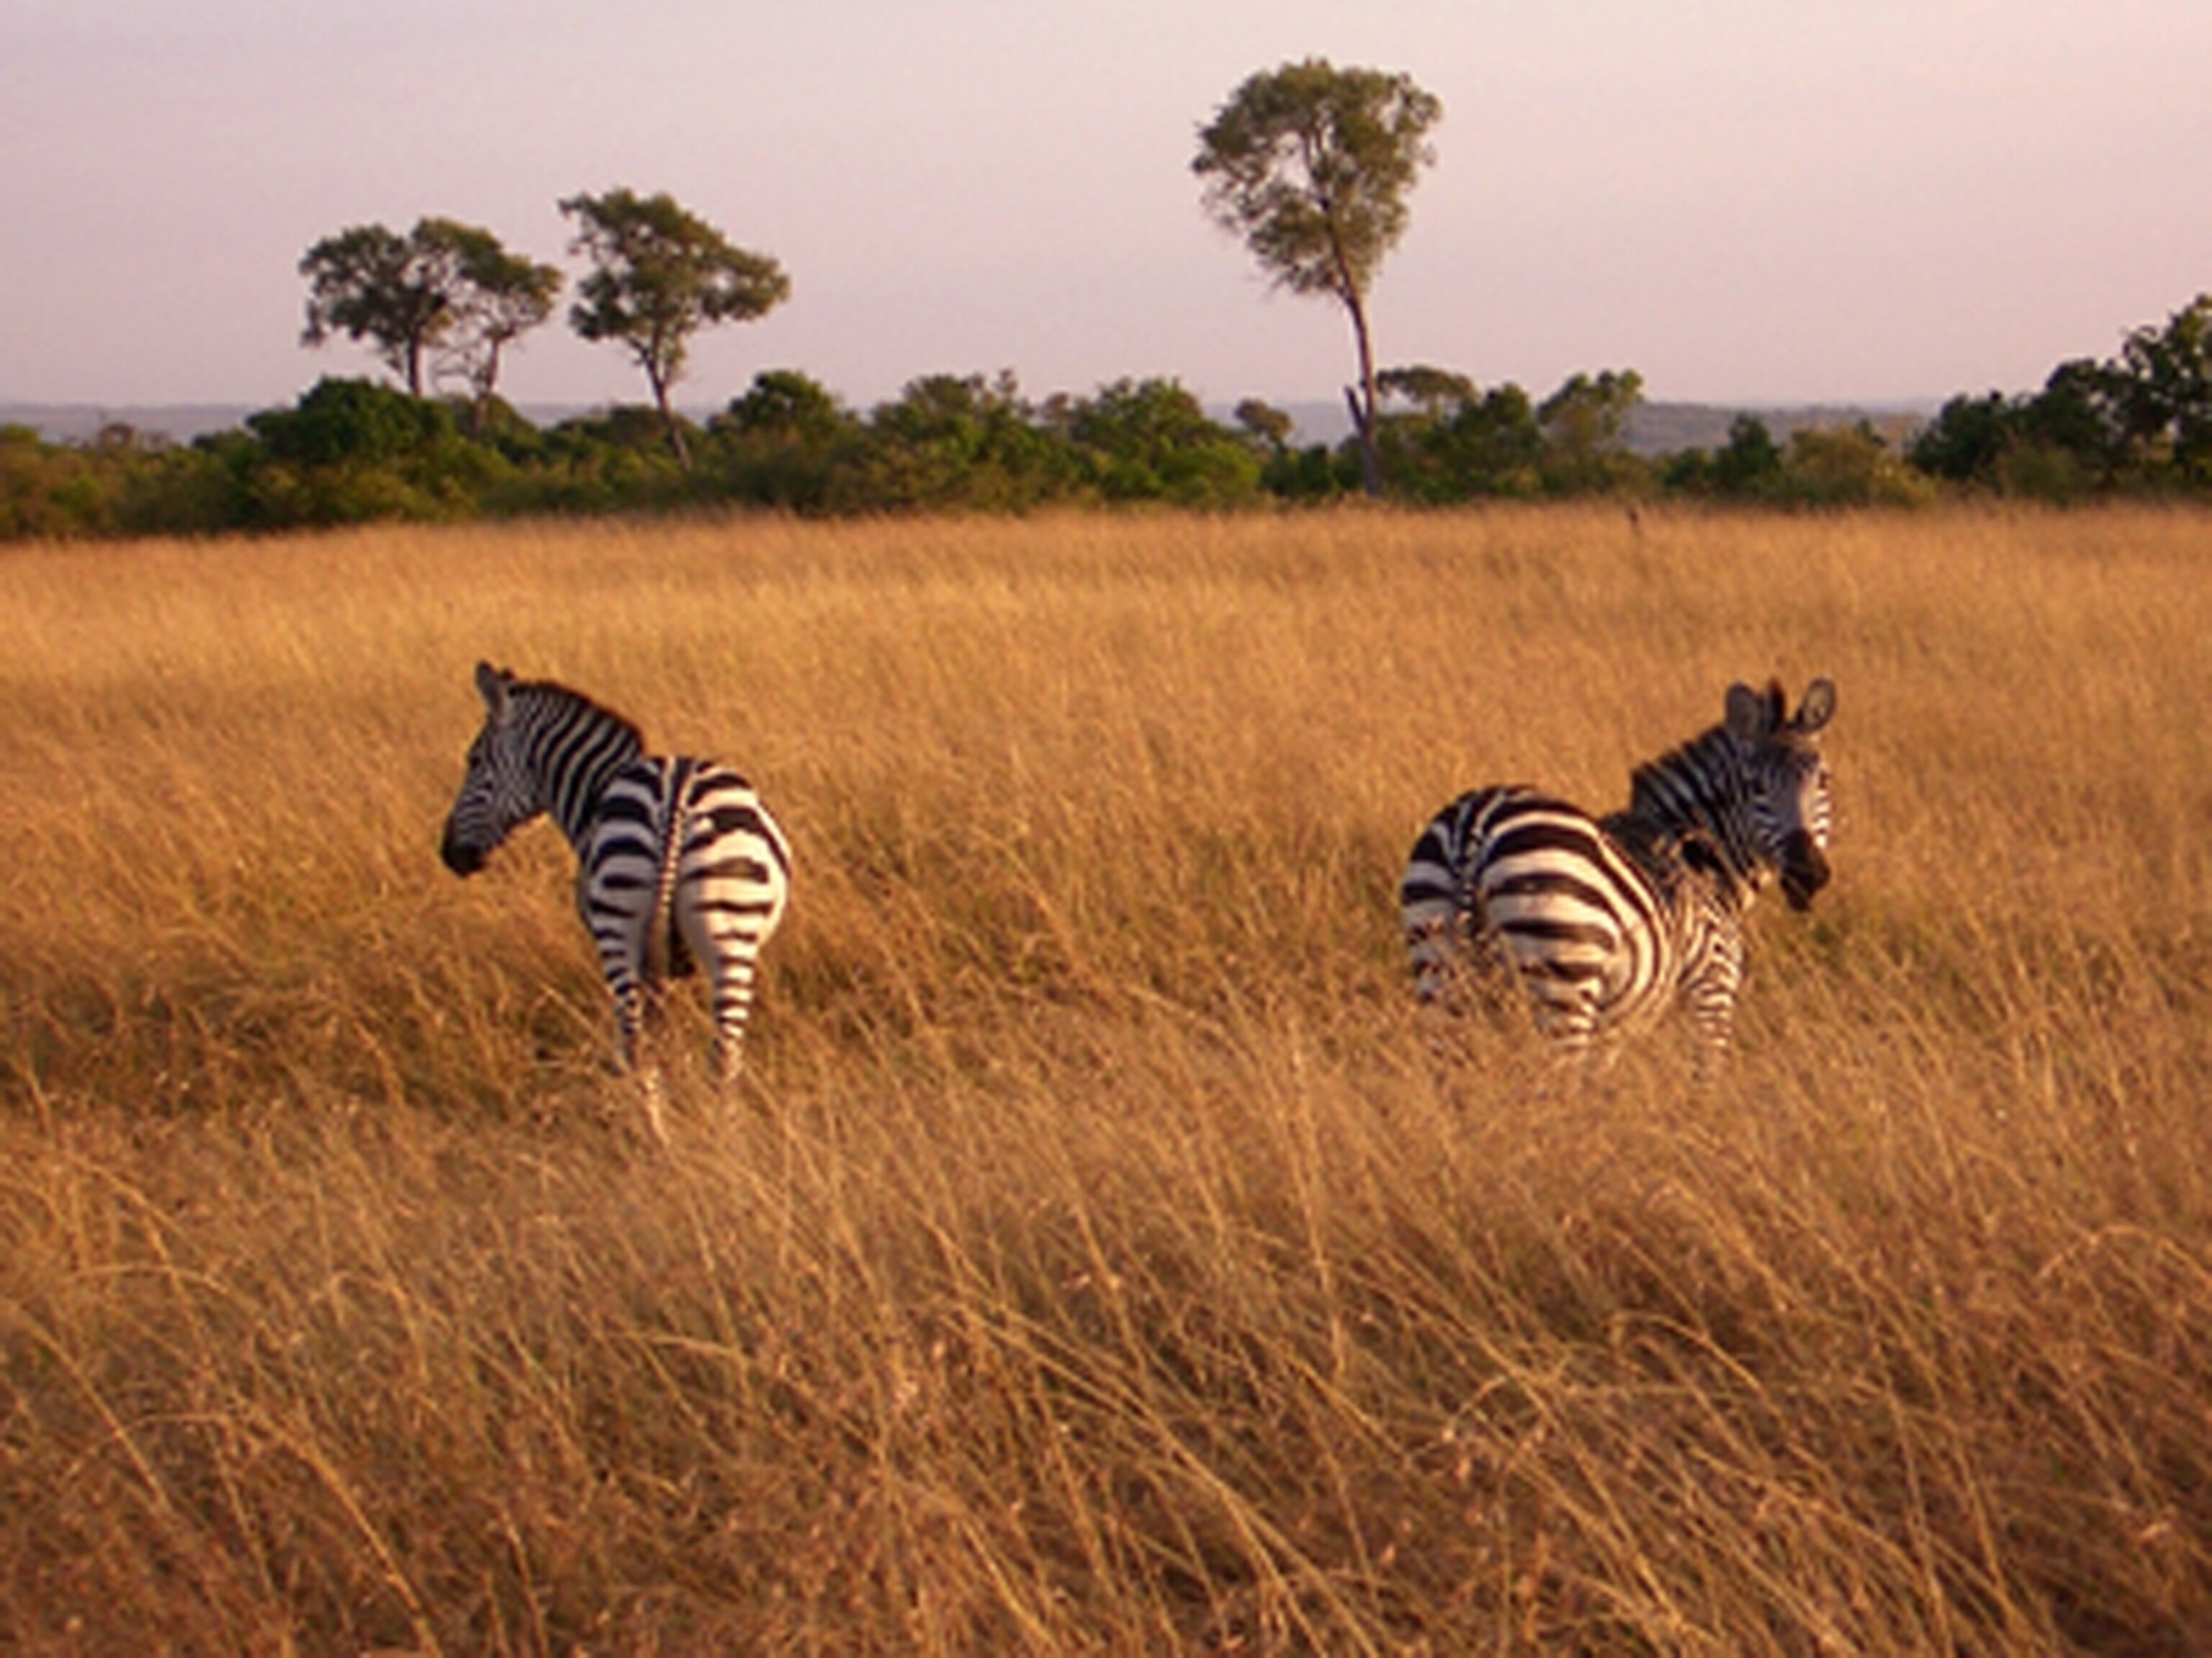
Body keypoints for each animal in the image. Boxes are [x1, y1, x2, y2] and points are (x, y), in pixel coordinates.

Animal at [439, 661, 791, 1091]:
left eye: (473, 760)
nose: (449, 855)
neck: (597, 790)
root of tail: (674, 801)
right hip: (729, 934)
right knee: (720, 1056)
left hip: (618, 933)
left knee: (637, 1046)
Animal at [1399, 678, 1835, 1070]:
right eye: (1755, 787)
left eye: (1824, 781)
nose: (1807, 874)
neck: (1700, 858)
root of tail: (1477, 820)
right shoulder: (1711, 991)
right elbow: (1706, 1083)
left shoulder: (1615, 1027)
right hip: (1562, 979)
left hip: (1437, 966)